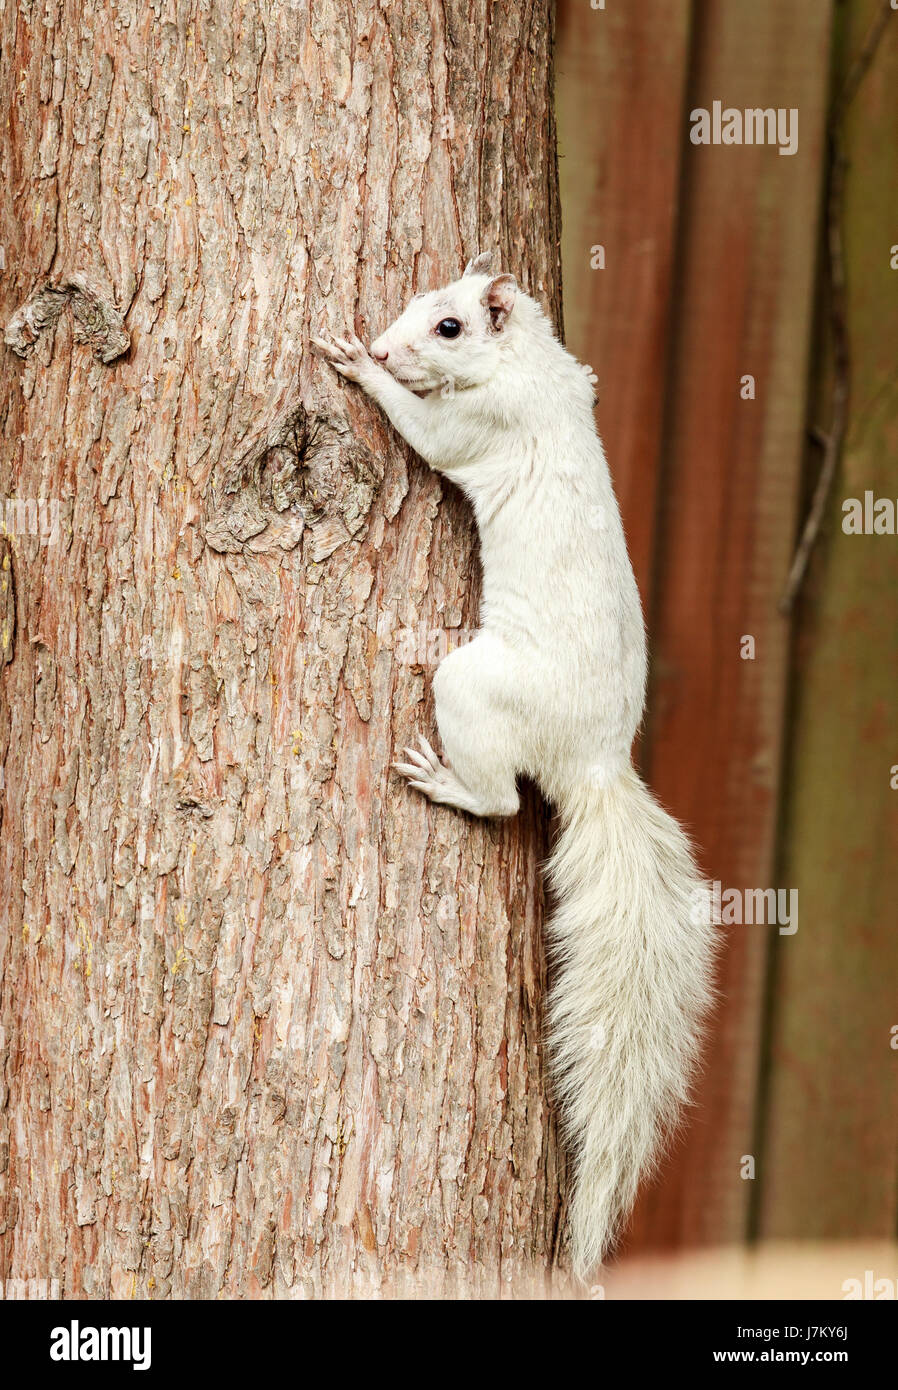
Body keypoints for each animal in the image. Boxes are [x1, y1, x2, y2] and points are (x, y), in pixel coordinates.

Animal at [315, 252, 717, 1278]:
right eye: (422, 302)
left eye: (448, 327)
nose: (388, 345)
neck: (526, 364)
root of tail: (596, 761)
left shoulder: (475, 428)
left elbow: (422, 432)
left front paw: (360, 369)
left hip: (472, 687)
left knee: (500, 802)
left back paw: (446, 781)